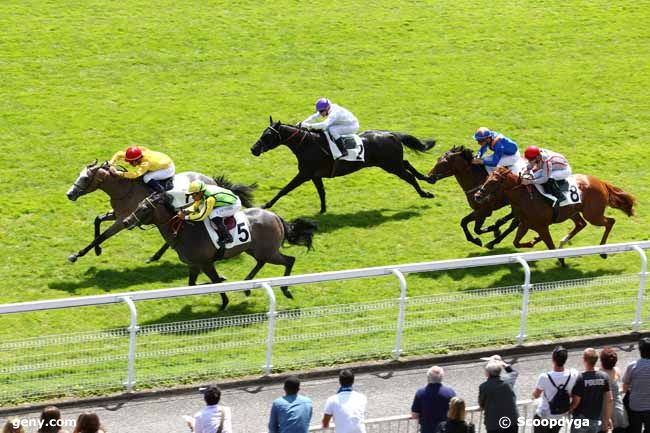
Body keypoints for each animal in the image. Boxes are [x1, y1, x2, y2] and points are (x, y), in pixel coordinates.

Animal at [123, 192, 318, 308]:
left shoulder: (206, 263)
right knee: (261, 262)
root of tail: (276, 216)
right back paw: (247, 286)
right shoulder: (194, 265)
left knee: (290, 260)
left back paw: (285, 289)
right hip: (255, 249)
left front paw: (224, 302)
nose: (126, 221)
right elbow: (192, 285)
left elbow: (215, 282)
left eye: (144, 209)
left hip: (268, 251)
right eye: (138, 205)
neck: (185, 231)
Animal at [249, 118, 436, 213]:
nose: (253, 149)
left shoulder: (304, 174)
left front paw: (265, 206)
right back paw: (427, 178)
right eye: (263, 133)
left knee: (409, 176)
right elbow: (322, 192)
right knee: (408, 164)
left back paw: (425, 193)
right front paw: (323, 210)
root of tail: (391, 134)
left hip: (391, 166)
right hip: (393, 163)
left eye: (267, 136)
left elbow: (284, 190)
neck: (308, 144)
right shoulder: (315, 175)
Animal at [470, 165, 632, 264]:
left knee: (610, 221)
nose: (477, 195)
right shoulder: (525, 224)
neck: (525, 197)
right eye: (486, 179)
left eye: (494, 181)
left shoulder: (542, 227)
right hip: (574, 211)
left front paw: (561, 262)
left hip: (593, 214)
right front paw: (533, 241)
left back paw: (602, 251)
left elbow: (550, 246)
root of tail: (601, 182)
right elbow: (516, 242)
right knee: (581, 224)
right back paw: (563, 241)